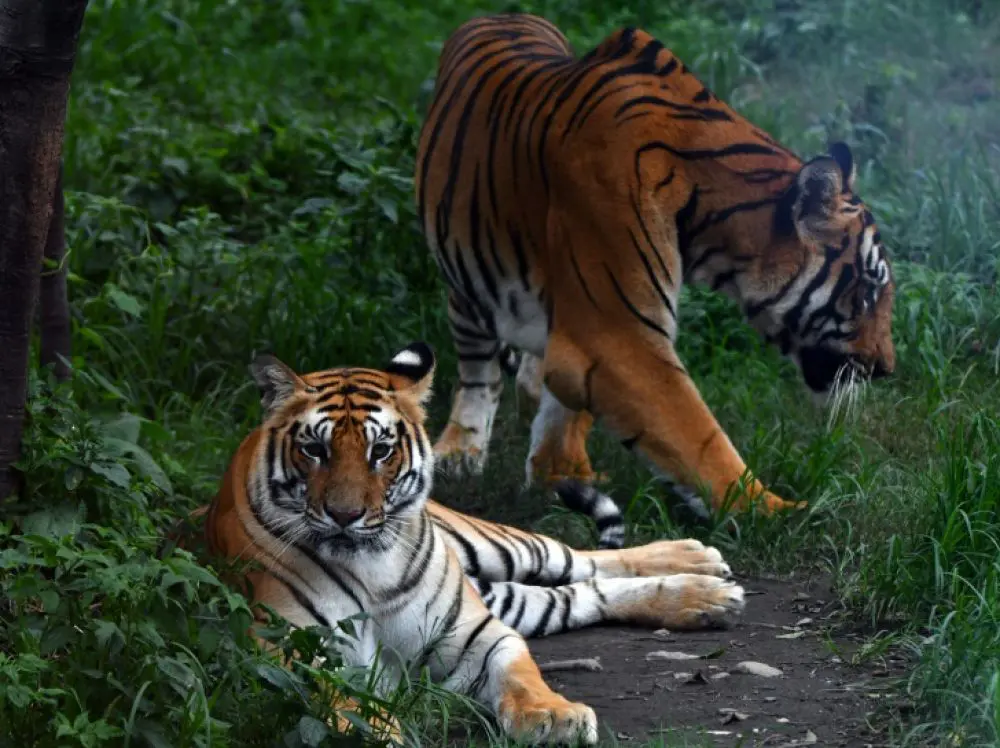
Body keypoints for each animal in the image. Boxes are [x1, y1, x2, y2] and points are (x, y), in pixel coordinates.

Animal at [202, 342, 745, 745]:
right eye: (315, 449)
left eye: (381, 451)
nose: (345, 515)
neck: (372, 569)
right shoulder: (288, 649)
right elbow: (344, 700)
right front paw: (380, 731)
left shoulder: (477, 633)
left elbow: (522, 676)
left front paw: (555, 718)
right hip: (504, 593)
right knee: (577, 595)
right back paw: (704, 597)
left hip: (497, 547)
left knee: (578, 559)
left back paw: (699, 567)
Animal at [415, 13, 896, 516]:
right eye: (866, 291)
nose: (886, 368)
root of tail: (504, 14)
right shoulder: (617, 337)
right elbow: (698, 437)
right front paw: (781, 512)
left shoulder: (584, 326)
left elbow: (565, 409)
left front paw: (562, 475)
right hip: (466, 286)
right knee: (477, 373)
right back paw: (460, 451)